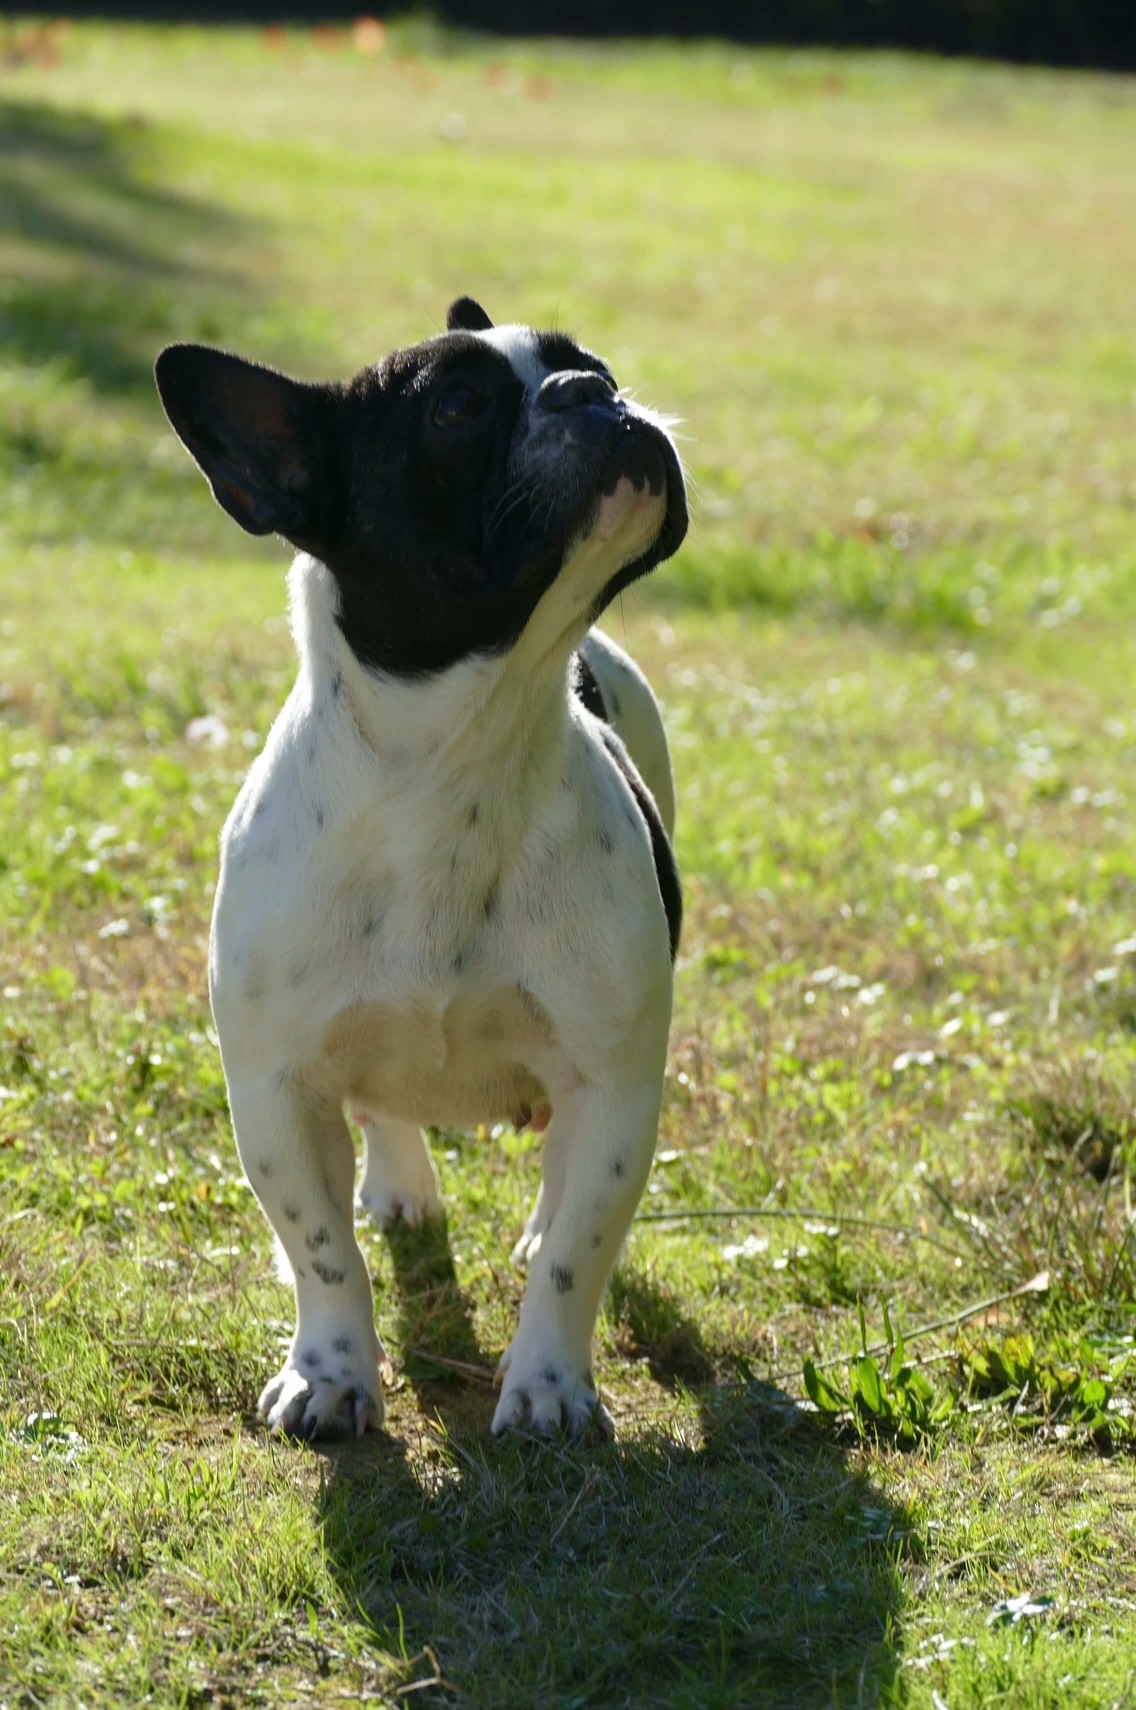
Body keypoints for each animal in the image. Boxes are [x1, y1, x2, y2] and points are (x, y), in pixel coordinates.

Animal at [155, 297, 687, 1443]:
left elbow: (579, 1252)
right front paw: (329, 1373)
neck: (459, 763)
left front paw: (549, 1385)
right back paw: (398, 1184)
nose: (594, 394)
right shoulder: (276, 1089)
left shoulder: (614, 1084)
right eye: (455, 409)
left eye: (593, 364)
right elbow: (320, 1252)